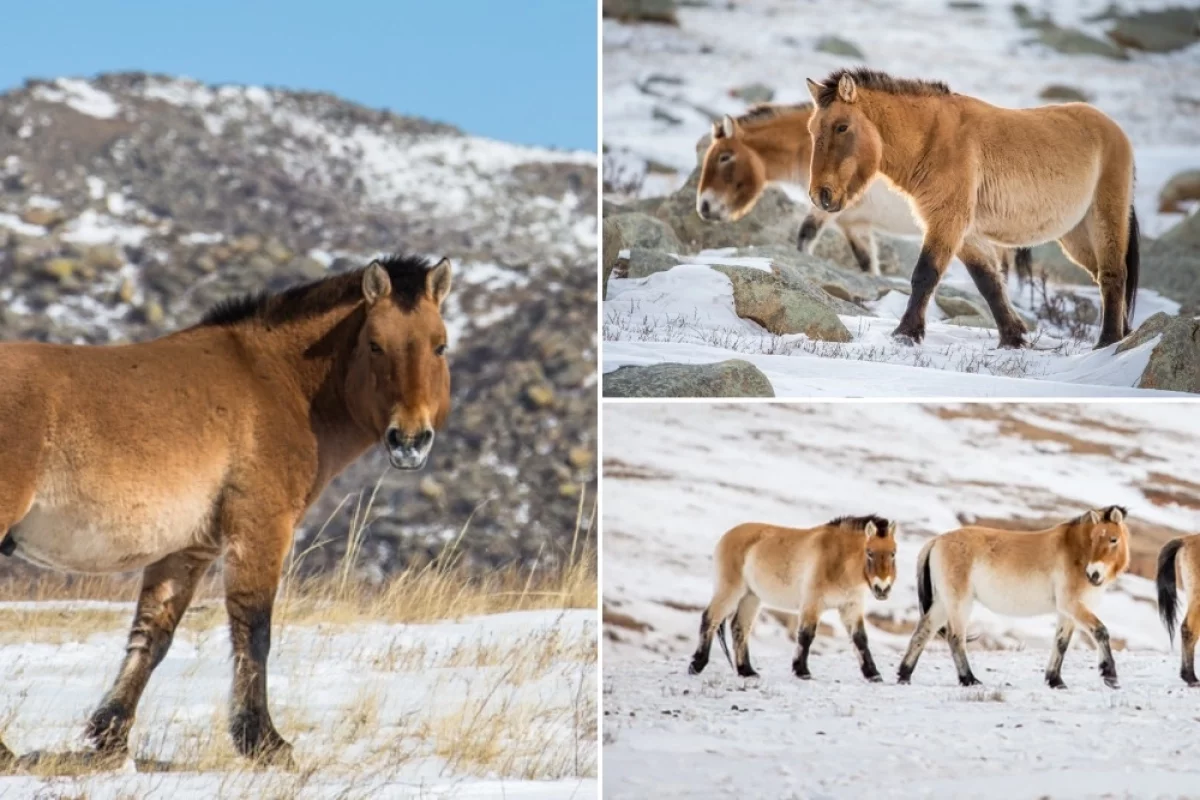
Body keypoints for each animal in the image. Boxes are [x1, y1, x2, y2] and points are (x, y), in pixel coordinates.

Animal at [0, 254, 453, 766]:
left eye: (439, 346)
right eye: (376, 345)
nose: (410, 441)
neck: (275, 381)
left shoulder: (188, 549)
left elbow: (153, 634)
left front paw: (110, 737)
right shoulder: (258, 531)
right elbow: (254, 630)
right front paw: (264, 741)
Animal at [688, 515, 896, 683]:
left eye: (893, 553)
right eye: (870, 552)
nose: (882, 588)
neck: (838, 558)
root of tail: (727, 536)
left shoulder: (851, 607)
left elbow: (860, 639)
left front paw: (873, 674)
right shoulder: (812, 603)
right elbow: (806, 634)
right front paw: (802, 671)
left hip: (751, 597)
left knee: (740, 628)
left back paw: (747, 671)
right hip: (730, 590)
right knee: (710, 618)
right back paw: (696, 665)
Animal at [695, 105, 1033, 279]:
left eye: (724, 157)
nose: (704, 207)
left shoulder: (829, 209)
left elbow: (805, 237)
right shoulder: (855, 225)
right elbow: (868, 266)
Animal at [805, 68, 1139, 349]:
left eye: (842, 126)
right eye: (811, 130)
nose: (821, 195)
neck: (933, 140)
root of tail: (1115, 131)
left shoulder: (947, 222)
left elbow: (925, 275)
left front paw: (906, 334)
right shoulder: (966, 234)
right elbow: (989, 283)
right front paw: (1012, 339)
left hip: (1104, 219)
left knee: (1113, 274)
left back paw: (1108, 342)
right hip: (1075, 236)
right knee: (1103, 276)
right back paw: (1123, 336)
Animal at [897, 506, 1130, 689]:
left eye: (1113, 539)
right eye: (1093, 539)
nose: (1093, 574)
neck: (1074, 551)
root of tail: (936, 541)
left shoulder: (1067, 611)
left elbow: (1061, 643)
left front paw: (1055, 680)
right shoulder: (1072, 604)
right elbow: (1100, 631)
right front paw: (1110, 676)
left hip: (942, 603)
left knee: (922, 634)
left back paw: (904, 675)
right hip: (959, 602)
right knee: (955, 638)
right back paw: (969, 679)